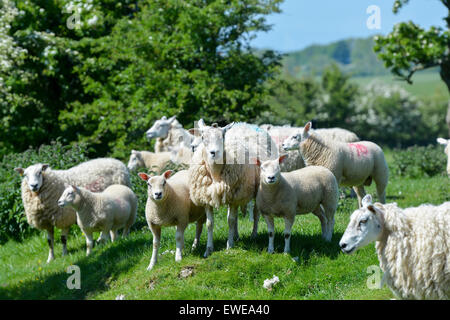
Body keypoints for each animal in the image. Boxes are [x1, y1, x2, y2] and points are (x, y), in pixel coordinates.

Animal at [188, 120, 280, 258]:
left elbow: (230, 221)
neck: (215, 172)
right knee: (236, 215)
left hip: (256, 190)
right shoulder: (208, 197)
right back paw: (236, 236)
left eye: (222, 137)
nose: (214, 152)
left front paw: (229, 245)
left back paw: (253, 235)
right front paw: (208, 249)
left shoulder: (235, 196)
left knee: (255, 213)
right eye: (203, 137)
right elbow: (210, 223)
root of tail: (245, 124)